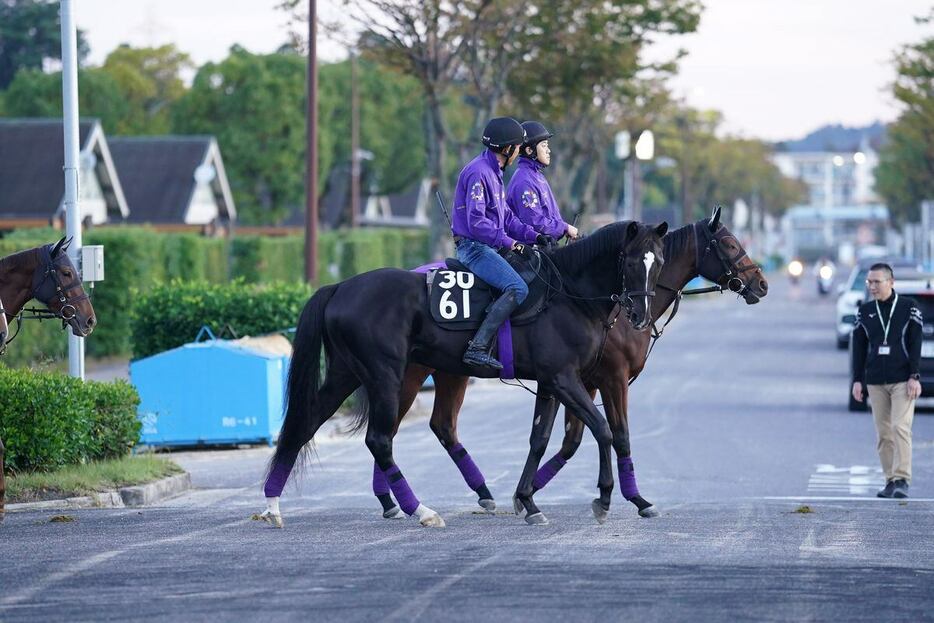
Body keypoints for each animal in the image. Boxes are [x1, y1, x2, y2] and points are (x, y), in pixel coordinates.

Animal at [260, 222, 668, 528]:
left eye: (659, 261)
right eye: (633, 261)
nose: (640, 315)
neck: (567, 294)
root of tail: (340, 286)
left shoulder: (551, 383)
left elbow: (539, 438)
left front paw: (527, 500)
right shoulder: (566, 379)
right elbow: (604, 431)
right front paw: (603, 499)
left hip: (346, 374)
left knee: (304, 424)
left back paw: (272, 504)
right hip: (385, 376)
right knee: (379, 439)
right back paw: (420, 509)